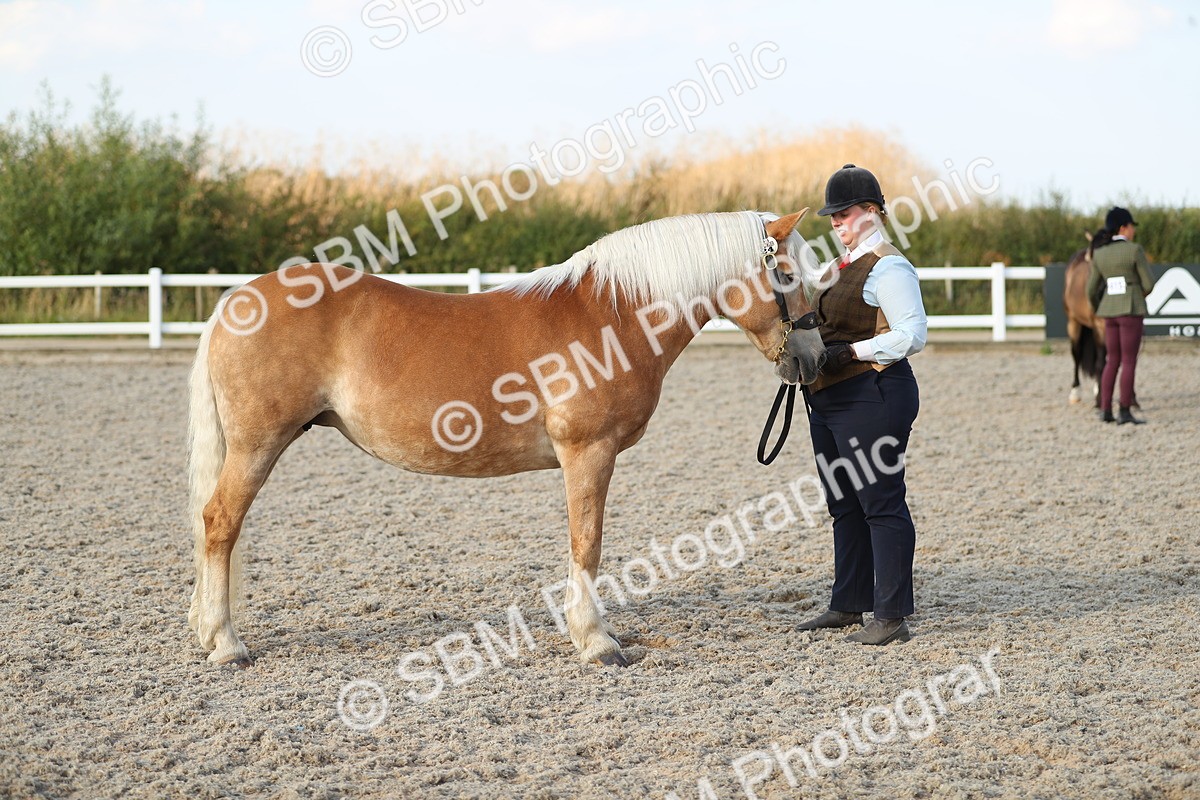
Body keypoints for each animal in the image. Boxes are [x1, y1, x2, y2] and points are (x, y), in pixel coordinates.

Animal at [187, 209, 826, 668]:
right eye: (787, 274)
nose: (814, 358)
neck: (613, 315)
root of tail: (233, 304)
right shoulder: (588, 453)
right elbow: (587, 544)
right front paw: (596, 641)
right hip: (257, 445)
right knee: (220, 523)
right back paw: (226, 644)